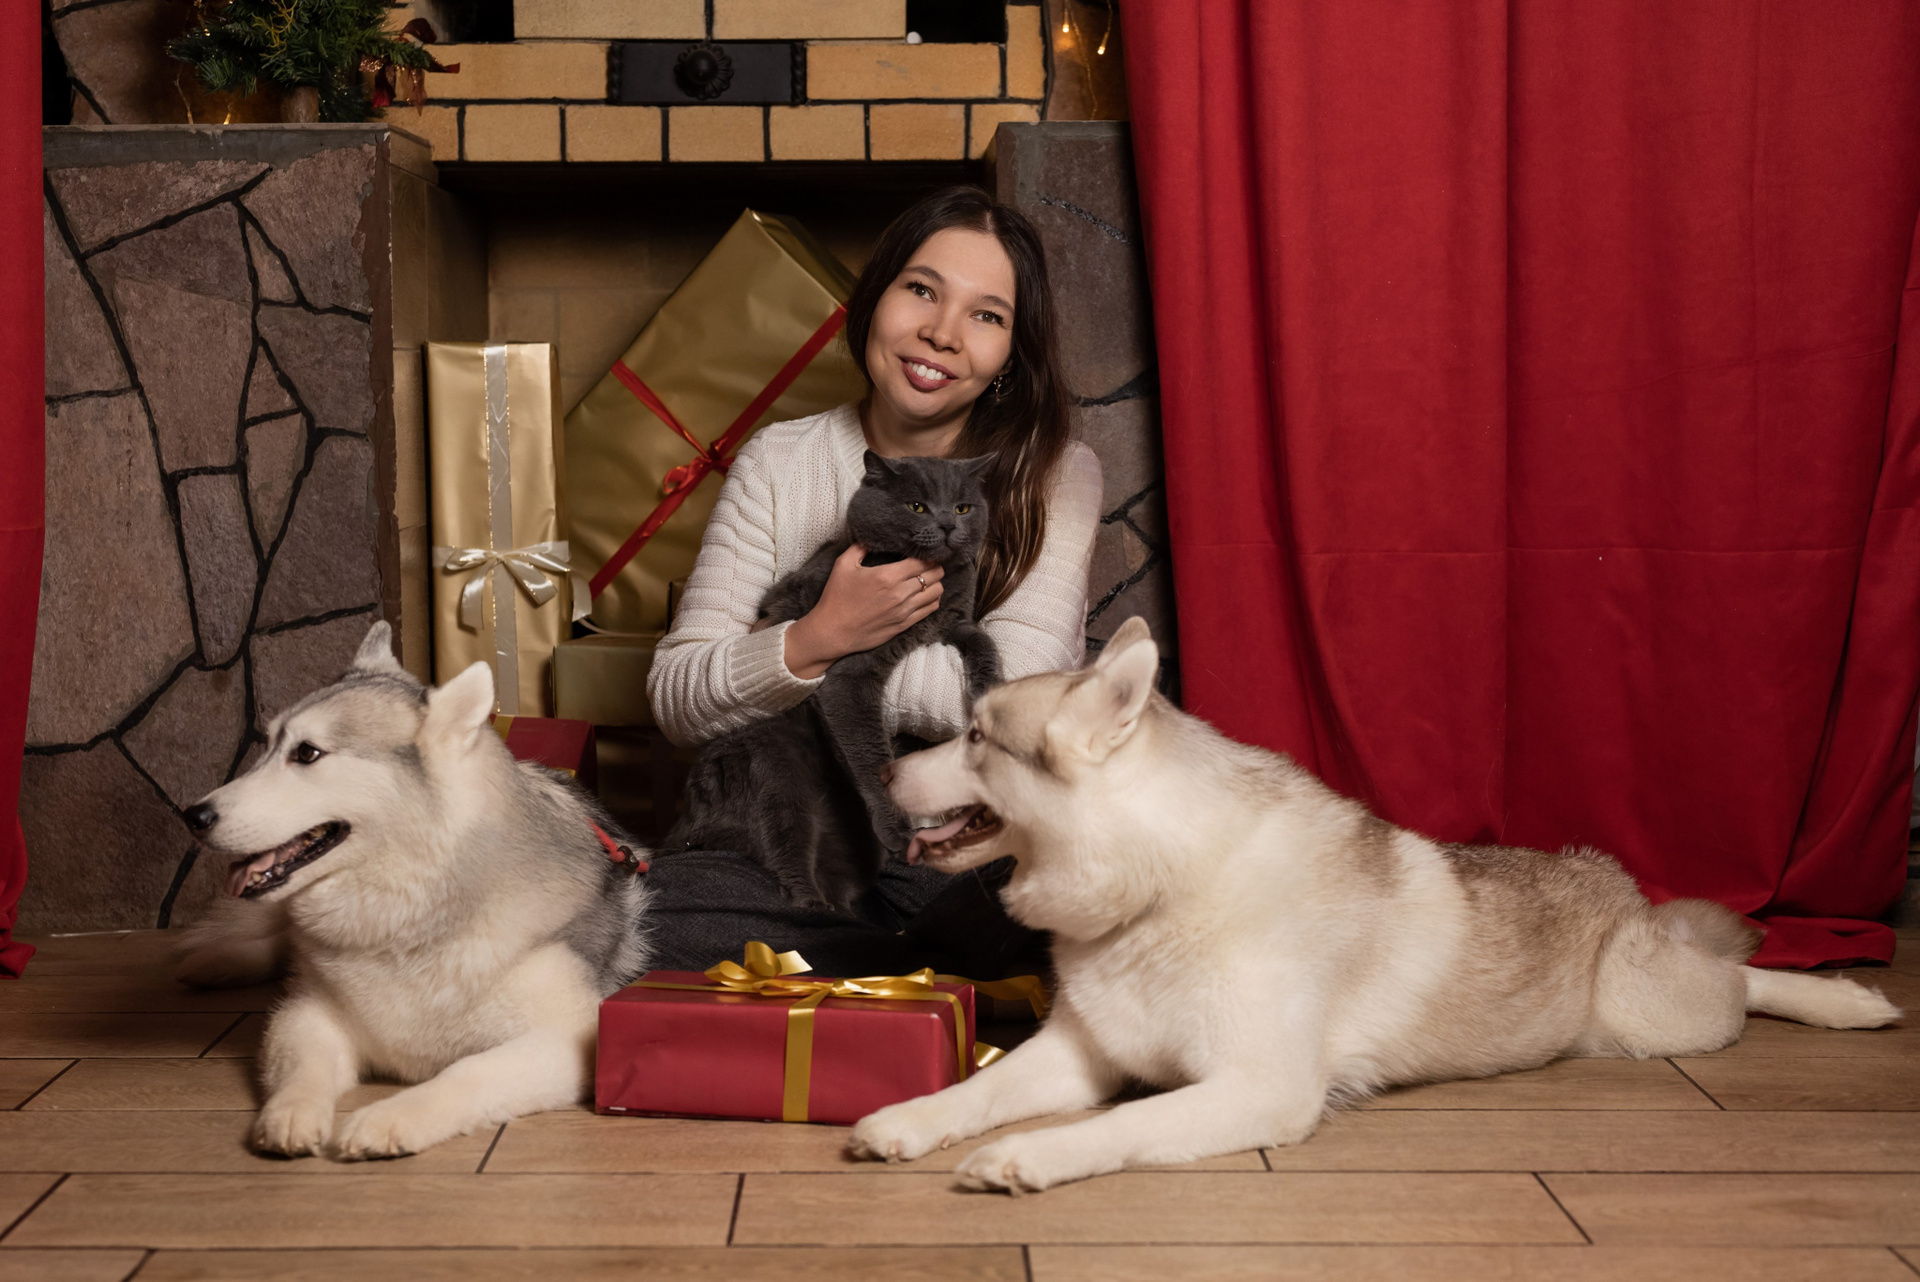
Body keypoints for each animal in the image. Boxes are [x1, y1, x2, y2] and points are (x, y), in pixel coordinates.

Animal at [172, 622, 651, 1160]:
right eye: (269, 746)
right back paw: (215, 962)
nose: (193, 816)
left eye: (307, 753)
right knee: (282, 943)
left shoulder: (570, 1038)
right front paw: (289, 1113)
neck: (409, 916)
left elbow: (466, 1073)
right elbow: (303, 1067)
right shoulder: (307, 1014)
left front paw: (388, 1118)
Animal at [848, 616, 1902, 1191]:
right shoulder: (1079, 1054)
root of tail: (1610, 881)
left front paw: (1029, 1158)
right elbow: (977, 1092)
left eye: (976, 736)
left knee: (1743, 977)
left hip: (1657, 1017)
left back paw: (1844, 998)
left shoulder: (1258, 1090)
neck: (1162, 889)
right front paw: (907, 1120)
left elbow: (1111, 1130)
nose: (885, 768)